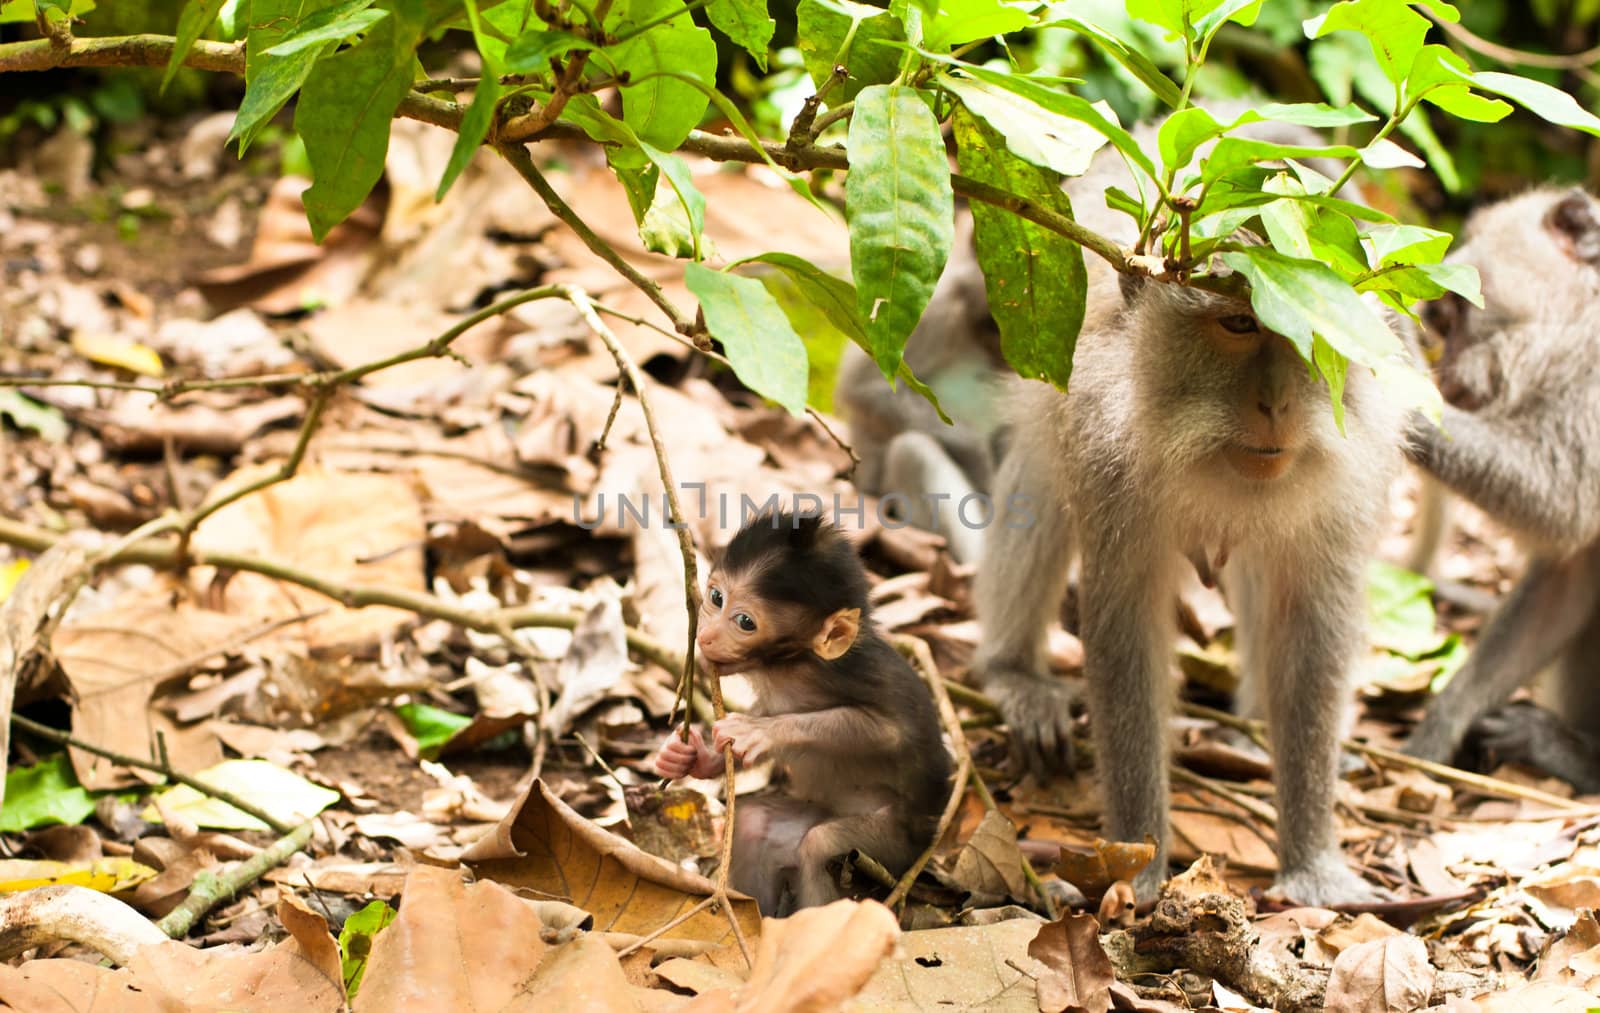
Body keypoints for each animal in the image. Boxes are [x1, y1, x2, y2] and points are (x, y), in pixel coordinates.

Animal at [649, 508, 947, 915]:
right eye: (716, 597)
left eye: (745, 622)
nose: (705, 636)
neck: (788, 665)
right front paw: (687, 756)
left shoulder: (846, 675)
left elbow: (888, 731)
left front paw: (760, 731)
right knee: (753, 822)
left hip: (894, 845)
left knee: (820, 844)